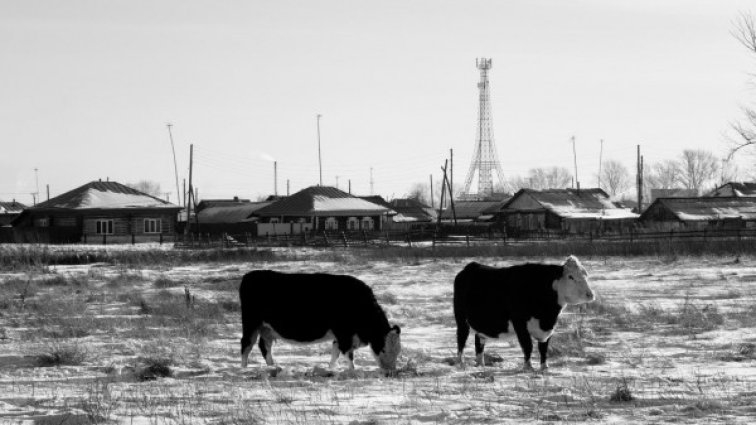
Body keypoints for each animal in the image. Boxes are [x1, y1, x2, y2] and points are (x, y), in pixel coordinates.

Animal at [239, 270, 402, 370]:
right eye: (383, 348)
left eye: (398, 351)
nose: (390, 372)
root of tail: (250, 275)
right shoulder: (344, 334)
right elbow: (348, 354)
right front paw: (352, 371)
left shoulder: (340, 336)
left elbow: (335, 353)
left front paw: (331, 369)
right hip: (251, 324)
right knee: (246, 345)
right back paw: (244, 368)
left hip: (266, 328)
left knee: (264, 346)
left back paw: (272, 367)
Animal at [452, 255, 592, 368]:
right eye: (570, 277)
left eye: (585, 275)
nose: (590, 294)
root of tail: (471, 266)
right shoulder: (519, 323)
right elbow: (527, 345)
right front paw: (528, 367)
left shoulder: (549, 327)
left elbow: (543, 348)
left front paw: (544, 367)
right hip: (461, 319)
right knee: (461, 339)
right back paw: (460, 363)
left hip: (480, 323)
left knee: (479, 342)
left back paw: (481, 364)